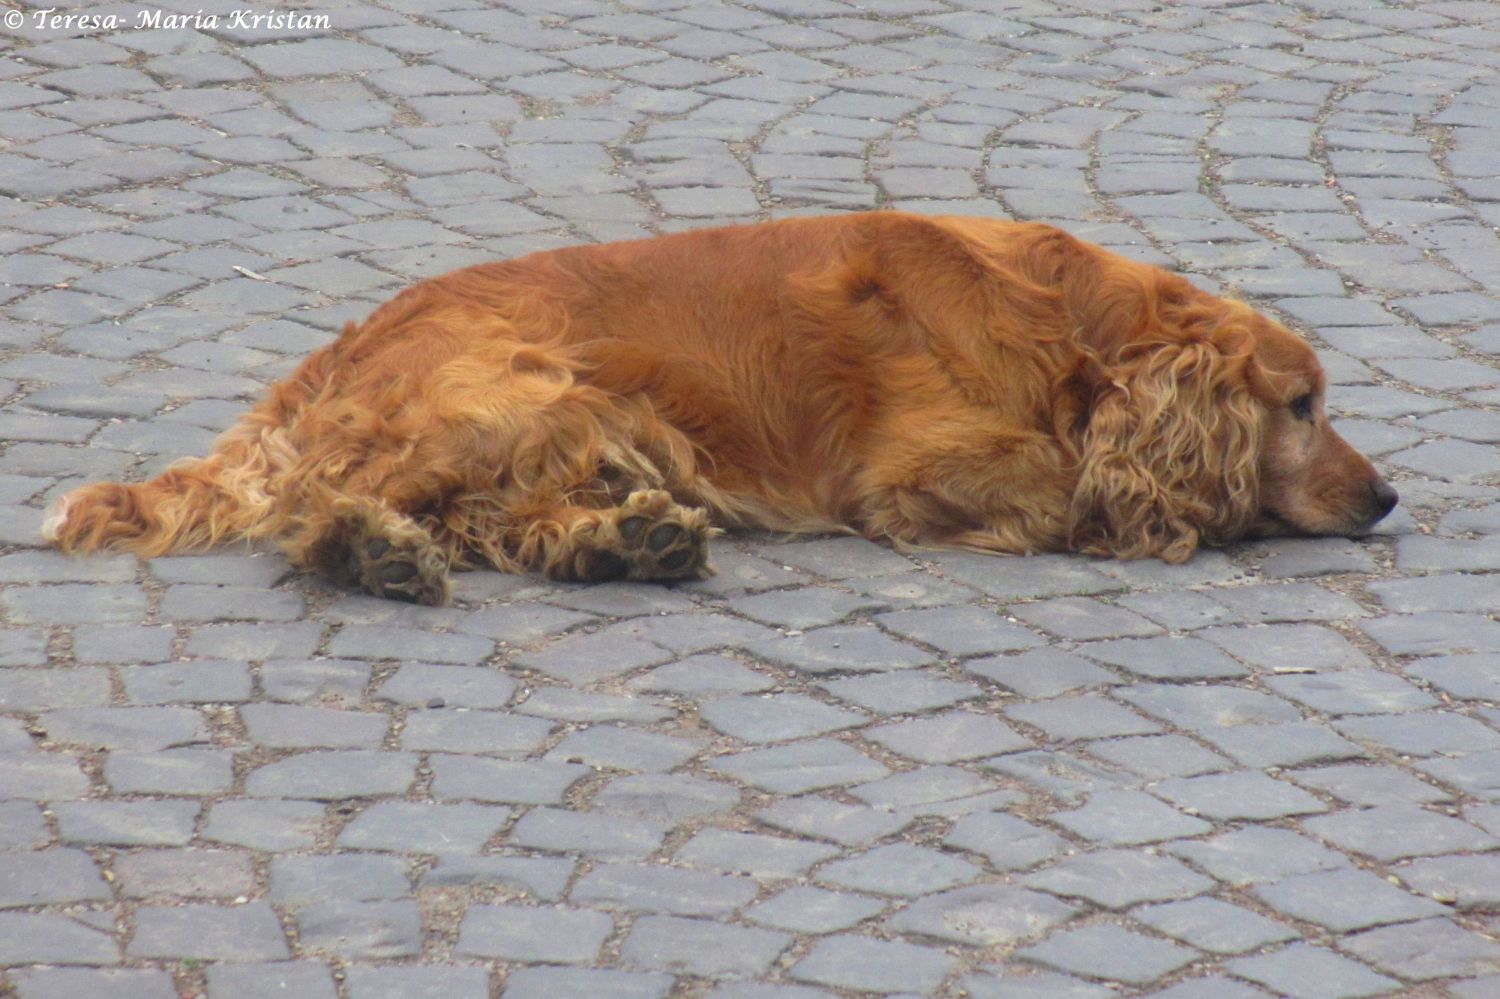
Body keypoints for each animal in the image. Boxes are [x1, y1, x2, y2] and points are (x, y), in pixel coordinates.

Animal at [49, 210, 1404, 600]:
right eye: (1300, 404)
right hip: (513, 393)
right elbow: (1071, 487)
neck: (1078, 332)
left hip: (586, 422)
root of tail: (337, 353)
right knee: (332, 506)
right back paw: (370, 552)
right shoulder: (916, 471)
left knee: (492, 521)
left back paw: (624, 543)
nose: (1387, 496)